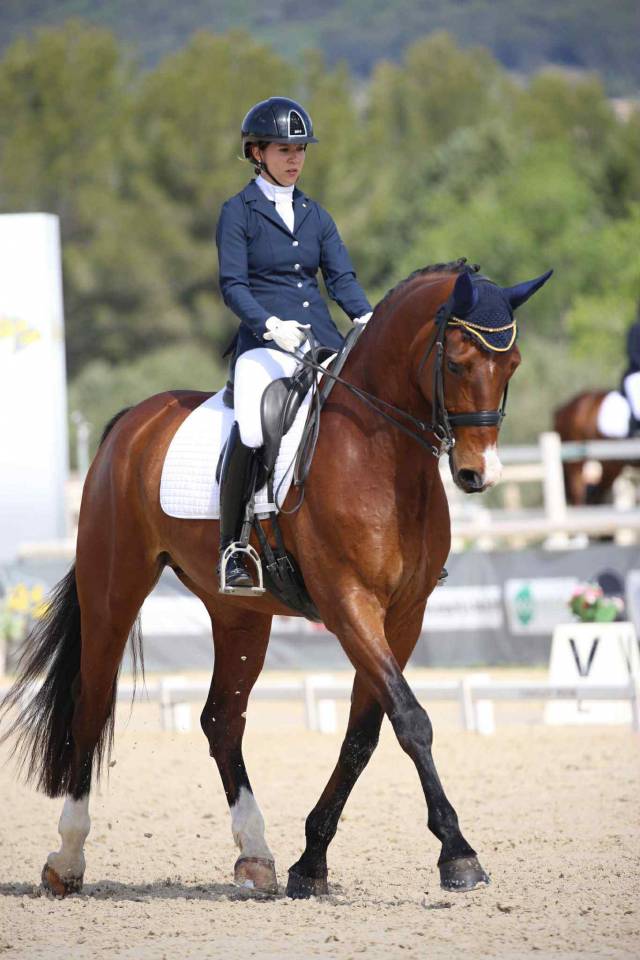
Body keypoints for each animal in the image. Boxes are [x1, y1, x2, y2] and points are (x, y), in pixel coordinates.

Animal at [1, 260, 551, 900]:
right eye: (459, 362)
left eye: (512, 365)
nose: (477, 474)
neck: (382, 455)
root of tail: (132, 421)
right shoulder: (348, 604)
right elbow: (412, 720)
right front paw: (458, 854)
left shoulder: (404, 616)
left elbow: (366, 734)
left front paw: (310, 862)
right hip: (113, 589)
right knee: (92, 705)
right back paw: (66, 861)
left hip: (239, 614)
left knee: (221, 719)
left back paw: (255, 856)